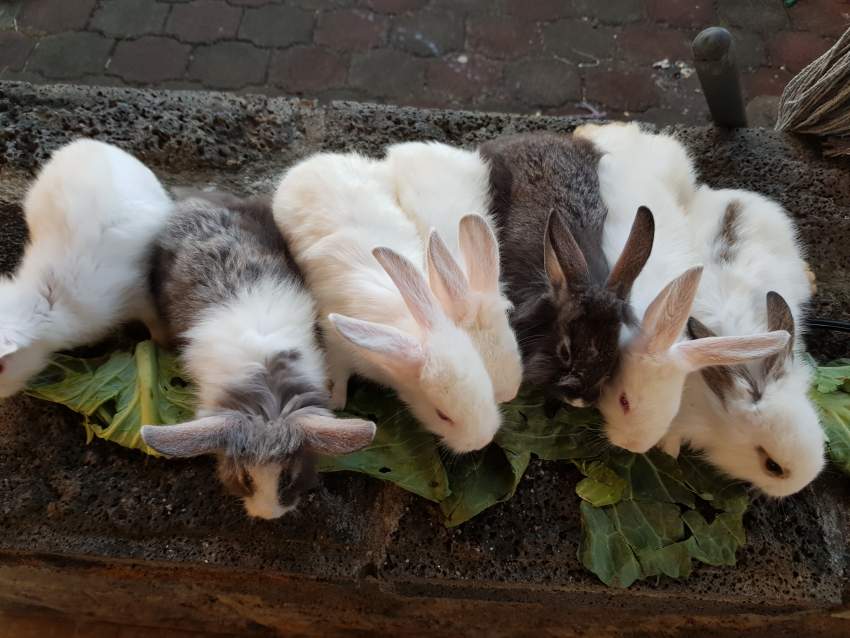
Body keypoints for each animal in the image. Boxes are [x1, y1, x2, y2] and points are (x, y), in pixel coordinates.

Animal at [272, 151, 502, 453]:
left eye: (488, 385)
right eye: (442, 415)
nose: (481, 441)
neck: (407, 329)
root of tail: (313, 161)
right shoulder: (338, 347)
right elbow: (340, 373)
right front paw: (337, 400)